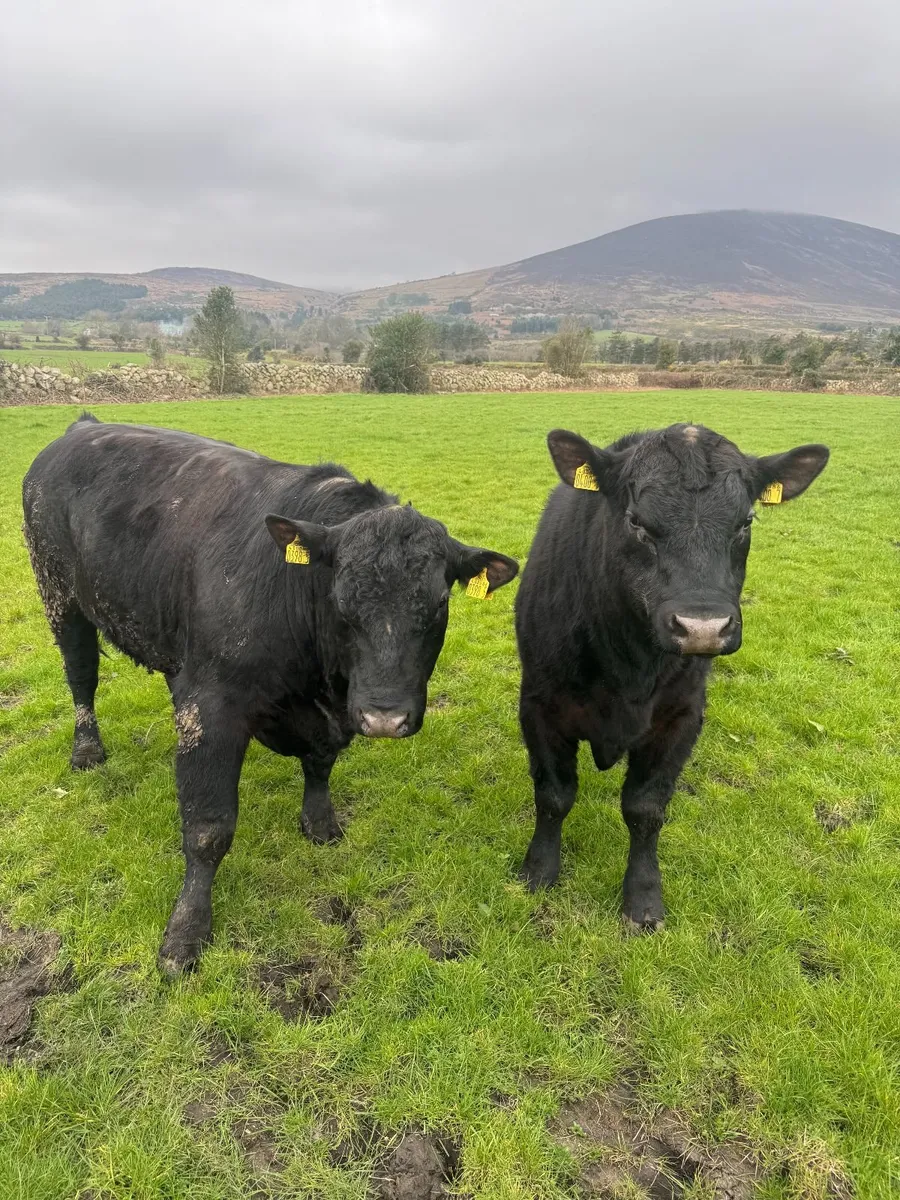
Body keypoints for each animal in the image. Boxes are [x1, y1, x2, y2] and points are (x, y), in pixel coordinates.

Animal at [22, 414, 518, 975]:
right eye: (340, 599)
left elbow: (321, 764)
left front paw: (320, 823)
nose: (384, 717)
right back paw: (87, 749)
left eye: (438, 604)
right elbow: (208, 827)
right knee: (81, 674)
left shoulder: (327, 713)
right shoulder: (211, 708)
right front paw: (186, 932)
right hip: (60, 595)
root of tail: (84, 425)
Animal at [514, 422, 829, 931]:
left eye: (746, 522)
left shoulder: (681, 716)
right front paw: (539, 871)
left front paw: (643, 899)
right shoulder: (540, 705)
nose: (703, 627)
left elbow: (645, 808)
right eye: (636, 521)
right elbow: (554, 795)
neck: (628, 668)